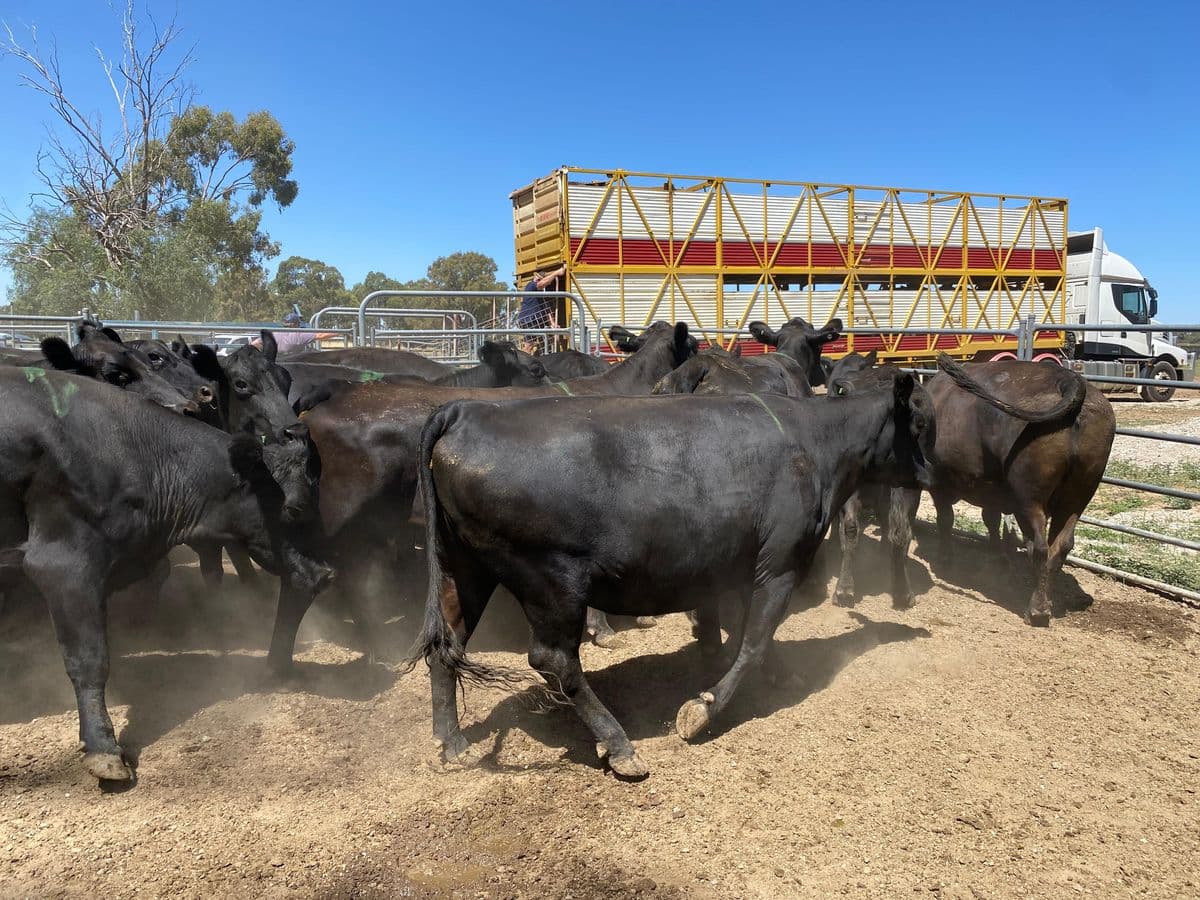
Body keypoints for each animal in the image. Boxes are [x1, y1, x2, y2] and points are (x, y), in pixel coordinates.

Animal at [406, 374, 934, 778]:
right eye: (921, 423)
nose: (933, 475)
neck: (816, 444)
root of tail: (466, 410)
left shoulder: (745, 567)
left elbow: (754, 634)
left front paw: (778, 671)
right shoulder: (782, 563)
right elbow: (754, 641)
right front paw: (703, 709)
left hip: (464, 568)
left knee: (448, 643)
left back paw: (450, 741)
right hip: (551, 581)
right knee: (554, 659)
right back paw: (619, 745)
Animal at [830, 353, 1115, 625]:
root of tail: (1068, 379)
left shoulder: (941, 487)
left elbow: (945, 519)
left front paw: (947, 557)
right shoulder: (989, 489)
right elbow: (989, 520)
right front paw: (997, 558)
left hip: (1030, 498)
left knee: (1041, 546)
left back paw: (1037, 609)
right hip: (1075, 497)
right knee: (1060, 545)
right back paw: (1045, 601)